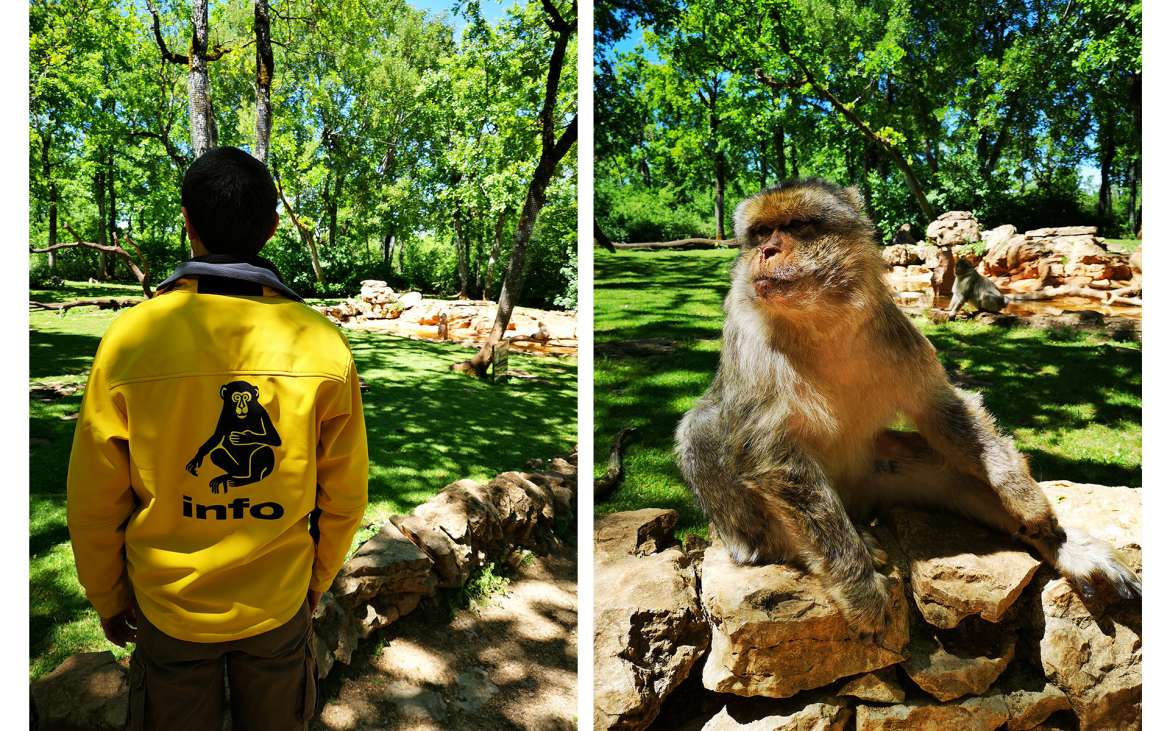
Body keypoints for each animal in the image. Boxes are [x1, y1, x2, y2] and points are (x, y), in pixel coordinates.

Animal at [678, 180, 1141, 636]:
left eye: (795, 227)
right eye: (759, 234)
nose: (766, 251)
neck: (820, 323)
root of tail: (856, 503)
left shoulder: (893, 327)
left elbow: (939, 406)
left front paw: (1023, 495)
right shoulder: (750, 338)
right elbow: (769, 454)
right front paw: (859, 588)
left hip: (879, 475)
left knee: (952, 475)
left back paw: (1063, 547)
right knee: (702, 428)